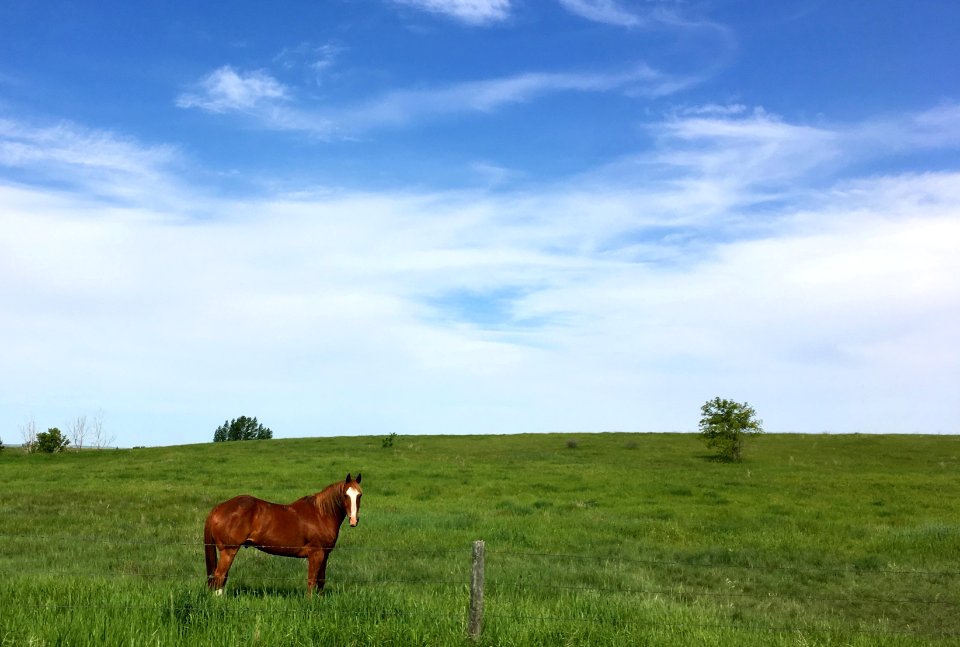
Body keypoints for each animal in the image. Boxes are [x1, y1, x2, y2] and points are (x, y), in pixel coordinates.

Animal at [204, 470, 362, 596]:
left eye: (359, 495)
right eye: (345, 495)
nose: (354, 520)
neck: (321, 514)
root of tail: (218, 508)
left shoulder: (325, 554)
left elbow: (321, 580)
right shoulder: (316, 554)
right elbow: (311, 580)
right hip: (229, 550)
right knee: (219, 576)